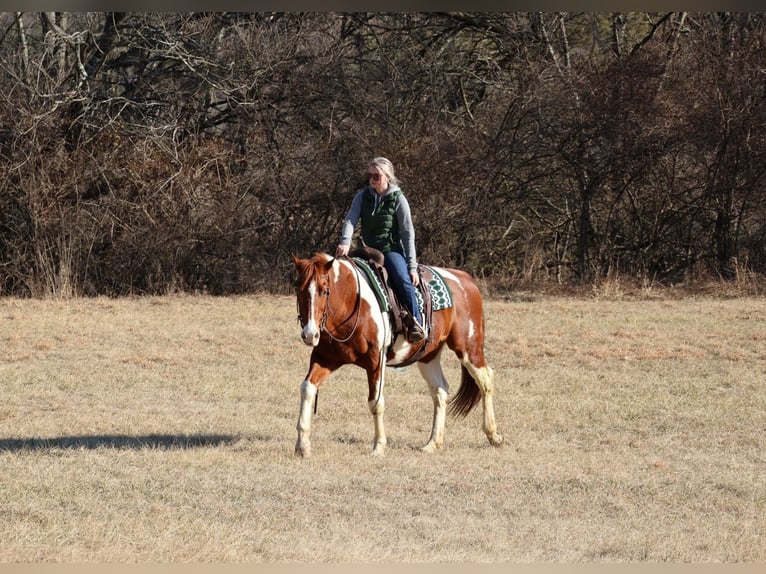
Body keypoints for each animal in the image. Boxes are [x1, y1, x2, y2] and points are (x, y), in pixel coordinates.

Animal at [292, 252, 504, 460]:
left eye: (324, 291)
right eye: (299, 290)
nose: (310, 334)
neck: (352, 301)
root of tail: (465, 280)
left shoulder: (376, 360)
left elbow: (376, 403)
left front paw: (379, 447)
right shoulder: (324, 358)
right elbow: (307, 388)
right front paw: (303, 446)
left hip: (468, 347)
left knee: (486, 379)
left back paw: (494, 435)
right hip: (428, 356)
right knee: (440, 390)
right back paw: (432, 443)